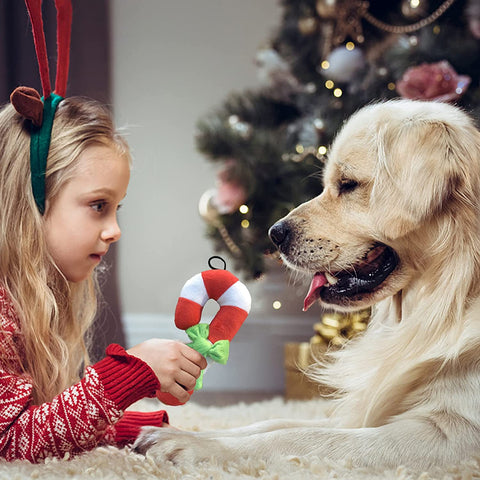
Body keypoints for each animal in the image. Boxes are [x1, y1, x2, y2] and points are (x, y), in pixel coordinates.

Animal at [134, 99, 480, 470]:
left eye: (348, 184)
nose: (274, 234)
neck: (453, 295)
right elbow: (273, 421)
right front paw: (185, 432)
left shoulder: (451, 434)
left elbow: (300, 436)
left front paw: (193, 446)